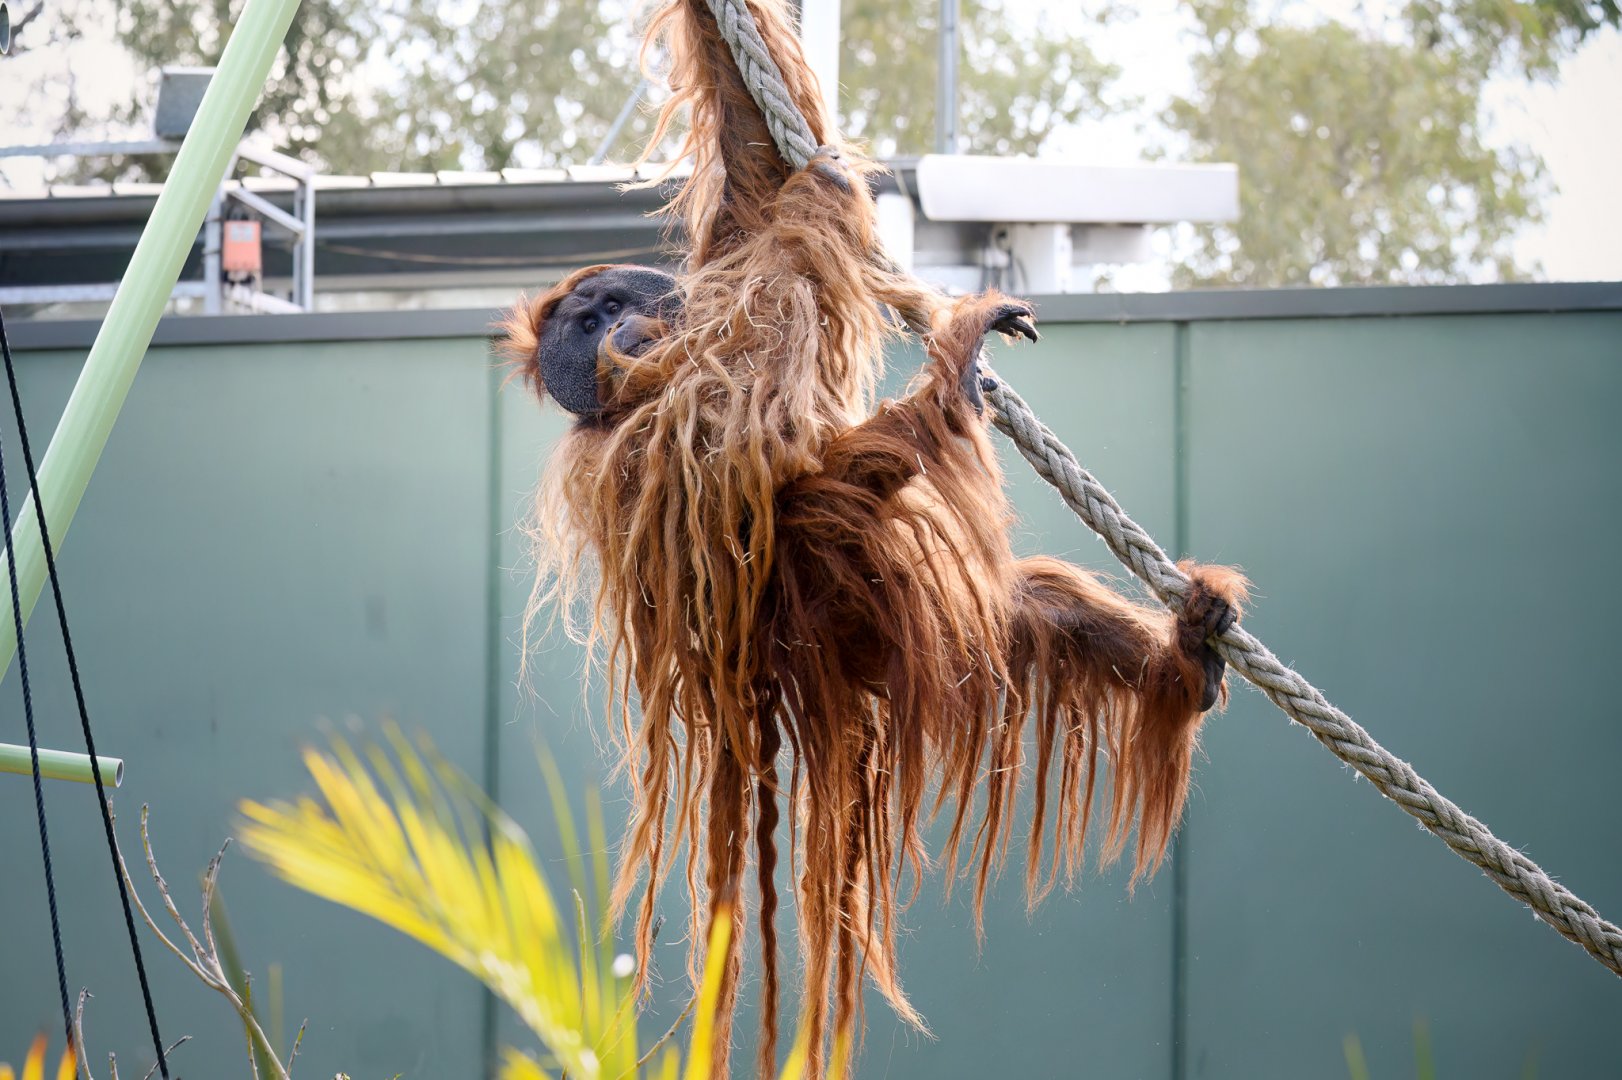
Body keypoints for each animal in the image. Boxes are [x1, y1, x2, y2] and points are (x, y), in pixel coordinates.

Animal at [500, 2, 1248, 1075]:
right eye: (585, 322)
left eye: (617, 303)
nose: (616, 328)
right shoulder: (636, 435)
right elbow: (743, 422)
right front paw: (825, 197)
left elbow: (746, 167)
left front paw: (750, 90)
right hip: (845, 617)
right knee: (833, 500)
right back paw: (948, 385)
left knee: (1036, 607)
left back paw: (1181, 660)